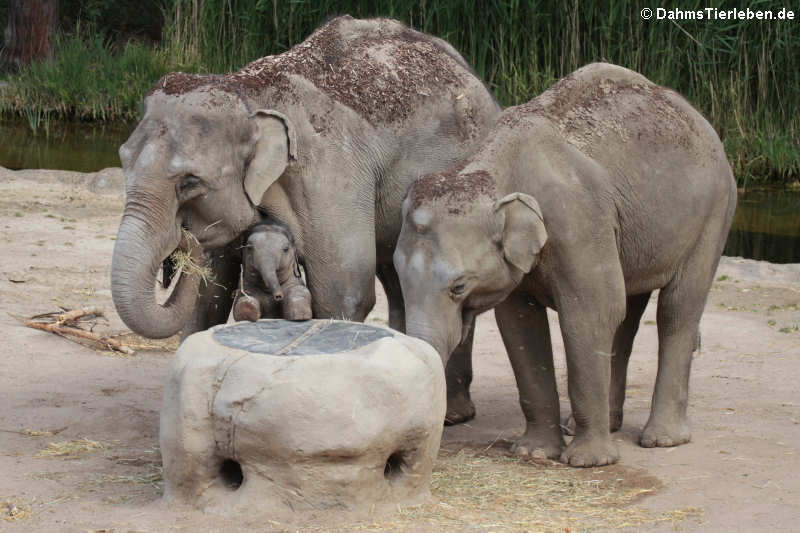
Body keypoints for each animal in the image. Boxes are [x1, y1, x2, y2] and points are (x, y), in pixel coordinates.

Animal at [109, 14, 500, 418]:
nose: (181, 239)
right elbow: (208, 294)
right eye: (122, 160)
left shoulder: (329, 177)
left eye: (189, 181)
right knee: (396, 278)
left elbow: (343, 291)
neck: (248, 93)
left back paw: (453, 415)